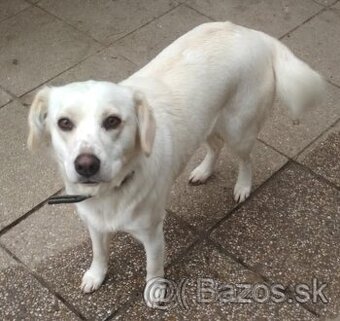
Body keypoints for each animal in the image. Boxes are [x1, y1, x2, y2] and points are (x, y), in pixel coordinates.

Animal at [27, 23, 322, 304]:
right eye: (64, 123)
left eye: (112, 121)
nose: (86, 165)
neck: (111, 192)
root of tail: (254, 34)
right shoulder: (94, 224)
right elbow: (99, 252)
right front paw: (96, 275)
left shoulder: (153, 233)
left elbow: (153, 267)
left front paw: (154, 291)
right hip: (206, 123)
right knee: (215, 147)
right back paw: (203, 171)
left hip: (240, 130)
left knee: (245, 159)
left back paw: (243, 187)